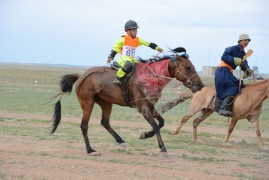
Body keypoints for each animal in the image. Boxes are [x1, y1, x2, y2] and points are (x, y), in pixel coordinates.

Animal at [50, 48, 203, 157]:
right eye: (188, 67)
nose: (200, 85)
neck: (149, 78)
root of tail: (80, 76)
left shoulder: (150, 106)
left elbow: (161, 123)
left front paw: (145, 135)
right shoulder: (143, 108)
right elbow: (155, 125)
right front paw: (163, 148)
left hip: (106, 103)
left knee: (105, 122)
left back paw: (121, 141)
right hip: (87, 103)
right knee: (84, 125)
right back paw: (90, 150)